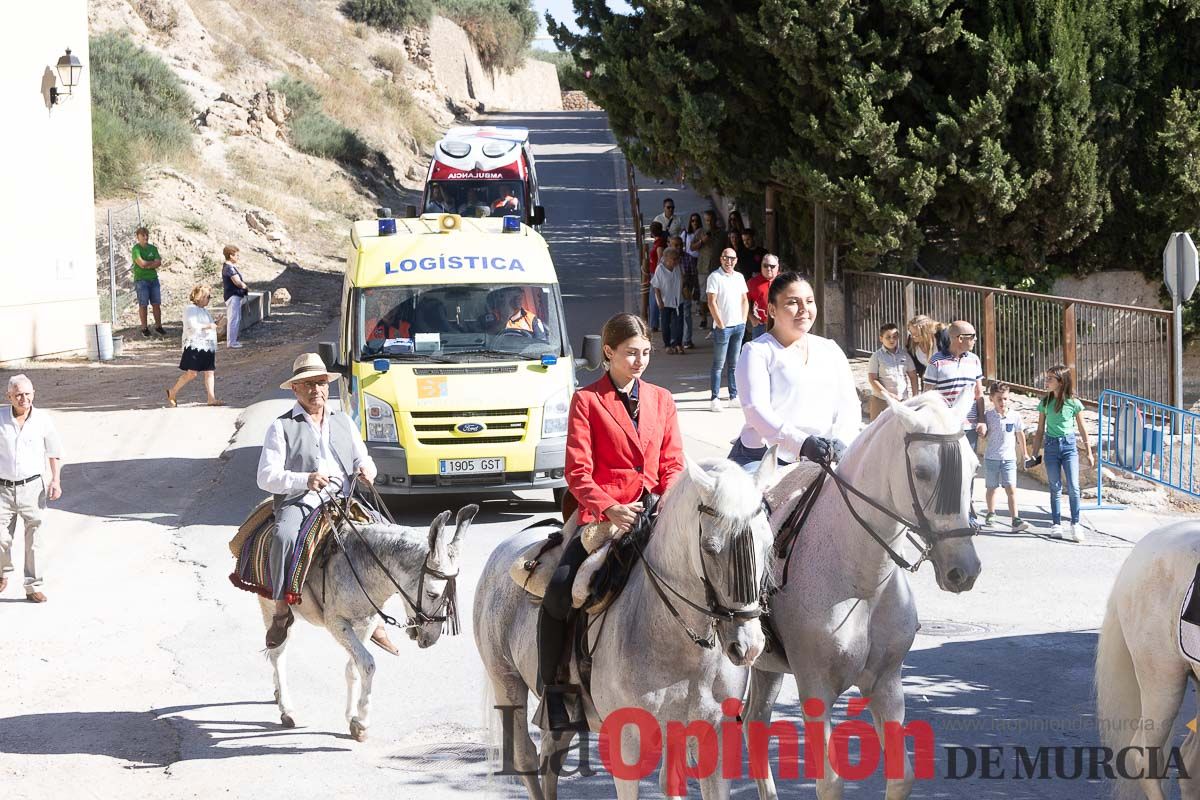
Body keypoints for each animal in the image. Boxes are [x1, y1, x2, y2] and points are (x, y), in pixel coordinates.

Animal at [258, 503, 477, 743]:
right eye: (432, 594)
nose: (431, 639)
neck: (362, 565)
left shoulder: (367, 622)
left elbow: (353, 667)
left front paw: (351, 715)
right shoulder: (337, 623)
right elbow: (367, 664)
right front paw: (361, 723)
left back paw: (277, 693)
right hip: (270, 605)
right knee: (277, 653)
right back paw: (286, 709)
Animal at [475, 455, 777, 800]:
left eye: (769, 543)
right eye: (711, 548)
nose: (748, 645)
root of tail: (506, 548)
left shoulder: (711, 731)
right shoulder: (628, 740)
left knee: (552, 750)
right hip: (505, 680)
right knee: (525, 755)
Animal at [748, 395, 984, 800]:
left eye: (974, 468)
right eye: (922, 471)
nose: (963, 570)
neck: (861, 582)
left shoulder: (885, 683)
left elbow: (901, 776)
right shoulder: (816, 689)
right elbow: (830, 782)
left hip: (766, 668)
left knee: (754, 724)